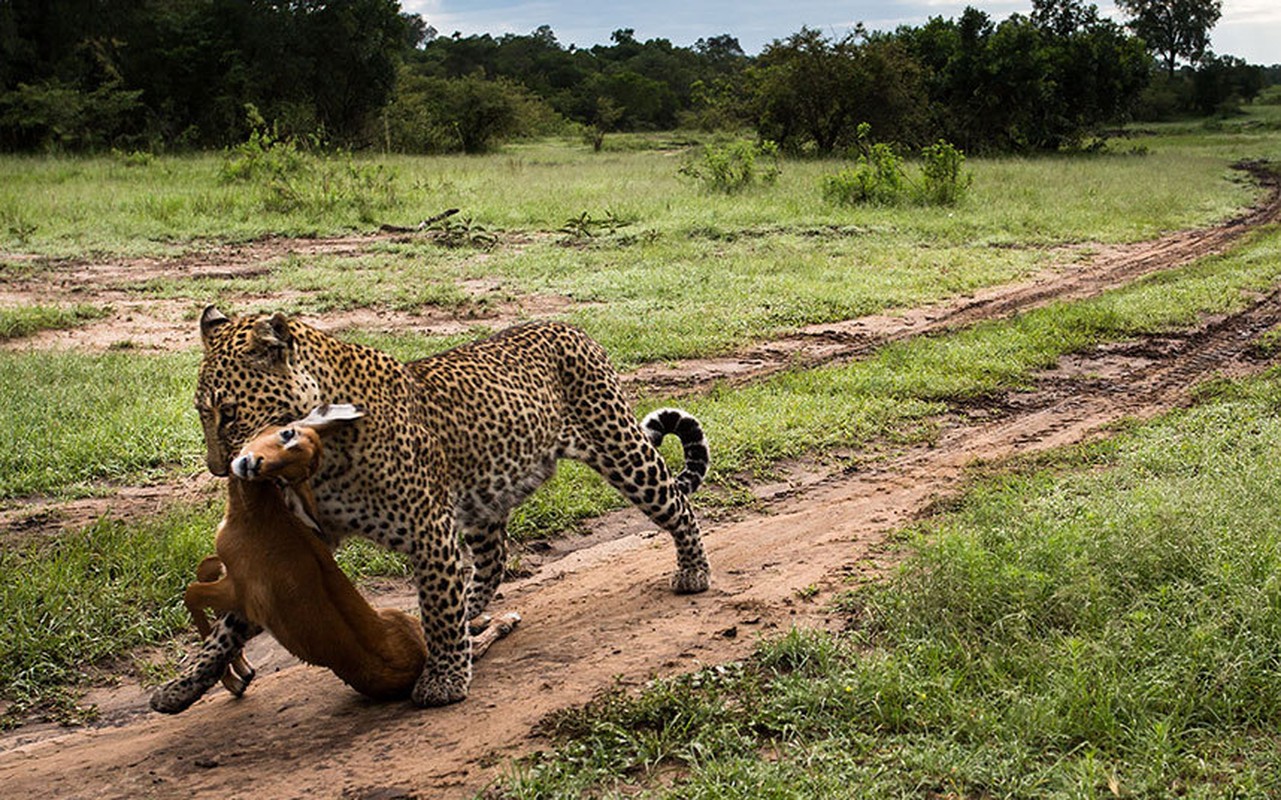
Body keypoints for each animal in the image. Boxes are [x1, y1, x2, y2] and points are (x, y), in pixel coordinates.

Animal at [152, 307, 712, 711]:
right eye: (201, 412)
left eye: (228, 412)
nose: (218, 469)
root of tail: (571, 327)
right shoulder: (300, 546)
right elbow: (230, 625)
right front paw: (183, 686)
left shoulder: (427, 525)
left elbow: (439, 606)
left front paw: (443, 680)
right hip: (485, 500)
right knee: (490, 564)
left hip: (620, 448)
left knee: (677, 502)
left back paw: (694, 572)